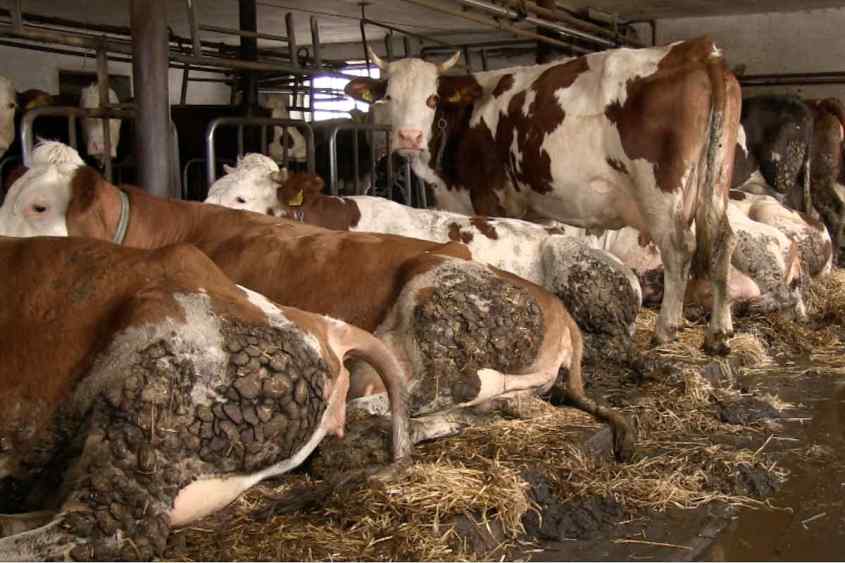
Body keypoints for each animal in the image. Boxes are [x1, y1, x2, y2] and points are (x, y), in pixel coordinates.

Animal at [345, 38, 742, 354]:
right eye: (389, 96)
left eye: (432, 99)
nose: (409, 137)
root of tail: (697, 49)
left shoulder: (486, 195)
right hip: (715, 181)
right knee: (722, 238)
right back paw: (719, 332)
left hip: (661, 191)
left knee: (679, 248)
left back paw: (666, 329)